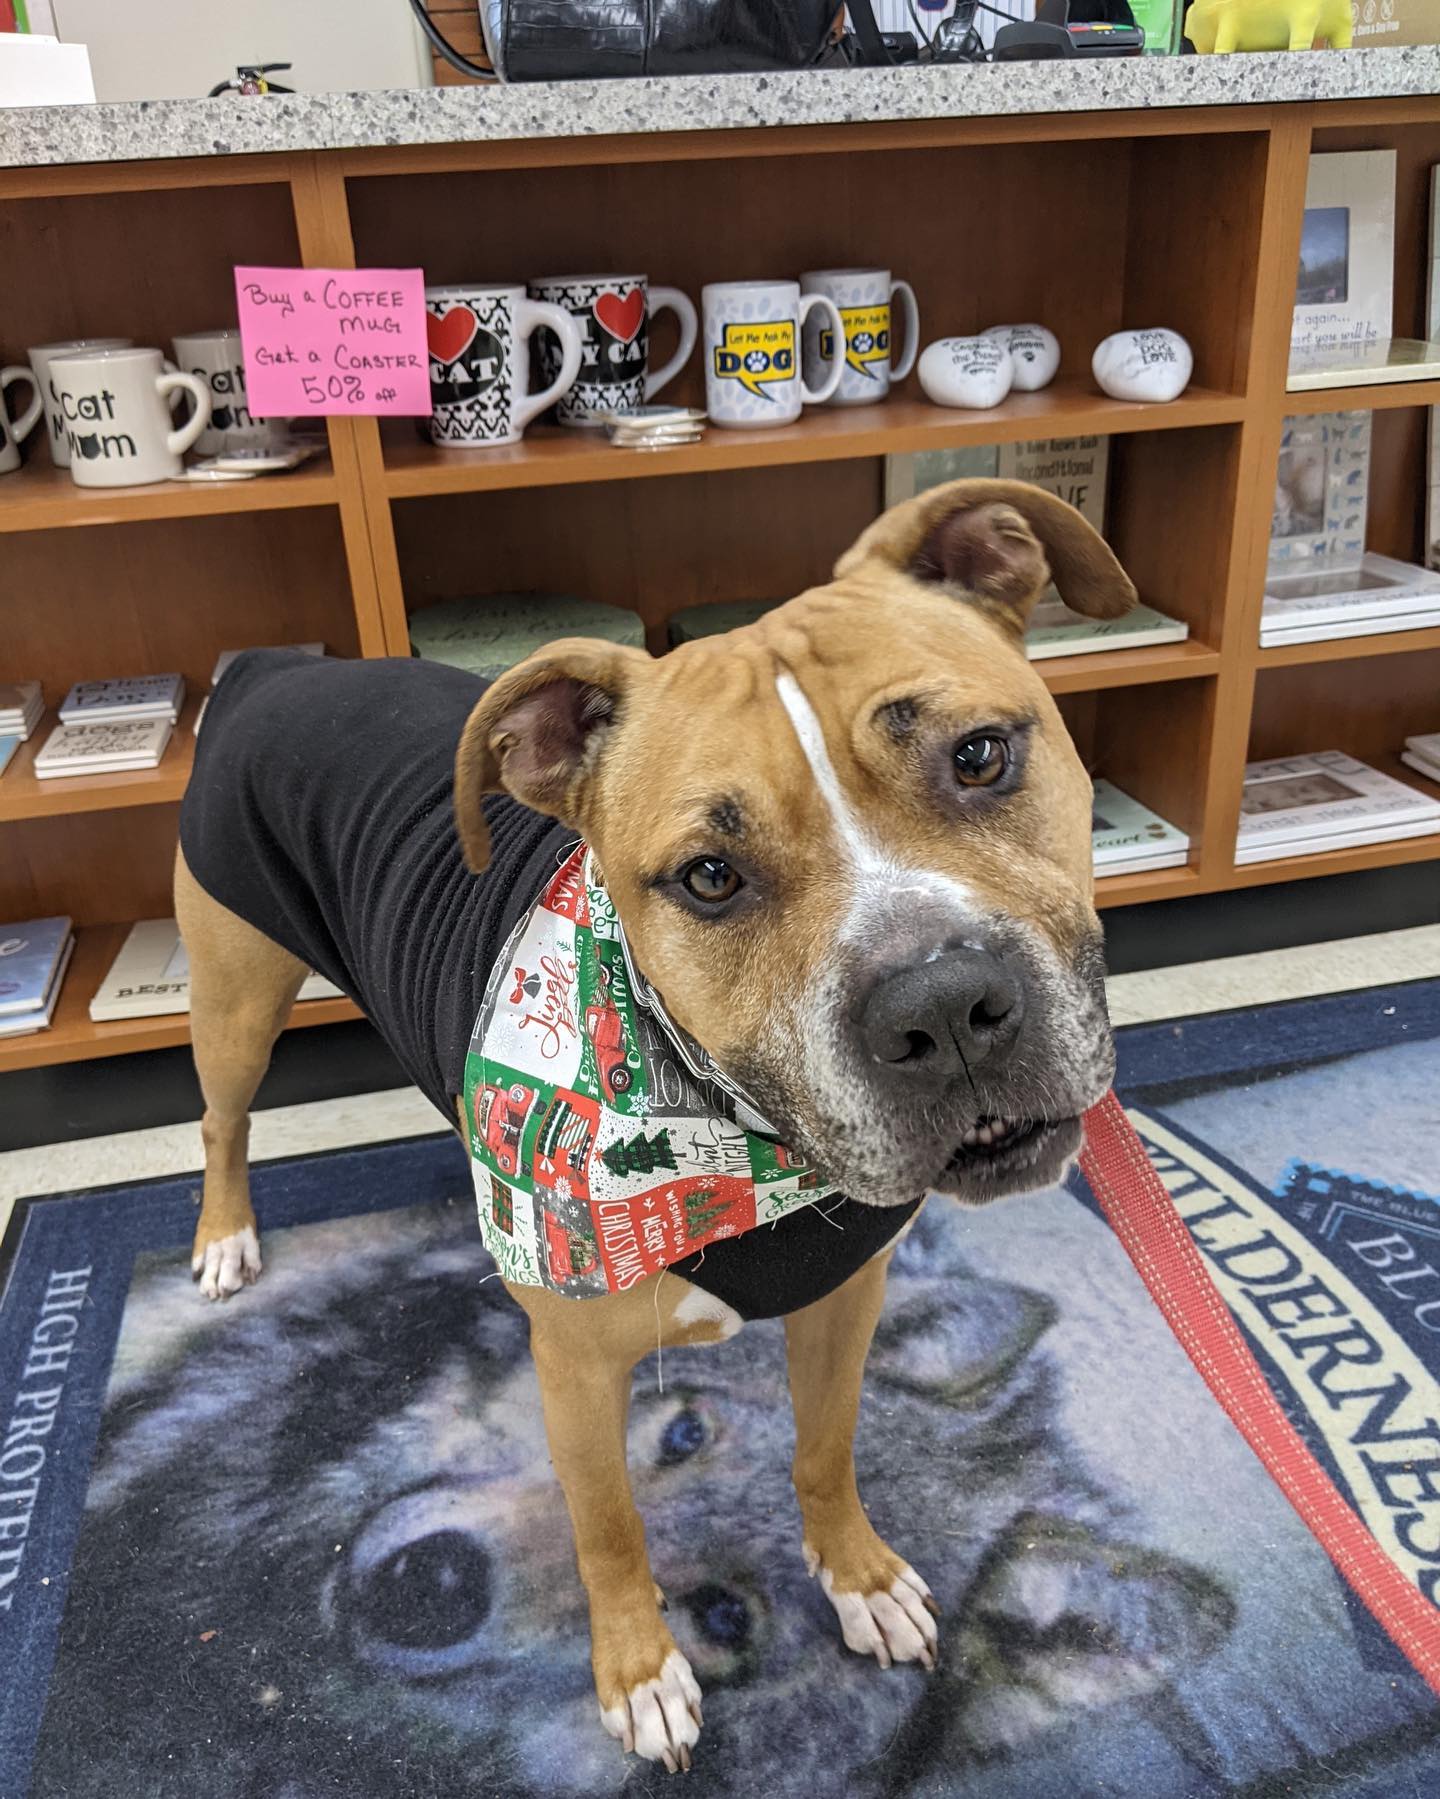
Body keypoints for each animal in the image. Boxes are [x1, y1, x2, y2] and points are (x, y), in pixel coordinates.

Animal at [171, 474, 1137, 1770]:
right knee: (221, 1118)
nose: (943, 1006)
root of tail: (273, 667)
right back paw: (225, 1236)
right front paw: (637, 1671)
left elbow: (824, 1446)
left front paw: (859, 1575)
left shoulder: (847, 1300)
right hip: (235, 989)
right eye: (710, 878)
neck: (739, 1146)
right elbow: (609, 1527)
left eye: (980, 756)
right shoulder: (577, 1373)